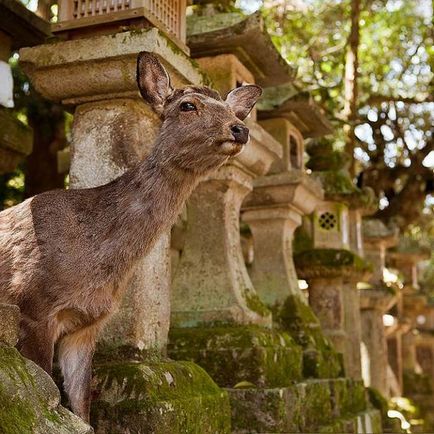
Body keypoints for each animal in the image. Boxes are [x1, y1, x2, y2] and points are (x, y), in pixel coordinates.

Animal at [0, 51, 262, 424]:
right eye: (187, 105)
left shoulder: (87, 325)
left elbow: (82, 407)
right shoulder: (33, 304)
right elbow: (49, 392)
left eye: (233, 111)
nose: (239, 129)